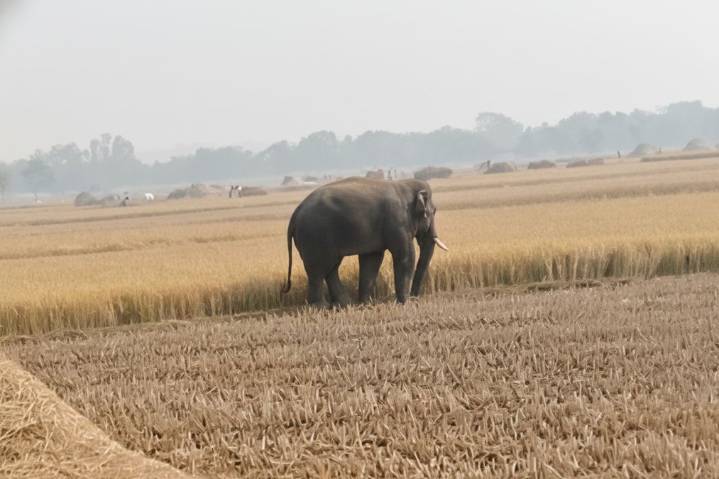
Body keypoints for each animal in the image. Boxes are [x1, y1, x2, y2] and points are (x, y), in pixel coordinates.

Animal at [281, 177, 448, 305]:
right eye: (433, 212)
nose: (415, 298)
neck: (404, 185)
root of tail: (295, 213)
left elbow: (372, 259)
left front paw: (367, 304)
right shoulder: (398, 222)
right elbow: (405, 256)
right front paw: (404, 302)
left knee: (331, 268)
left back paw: (344, 304)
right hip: (314, 237)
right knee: (318, 270)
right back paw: (321, 307)